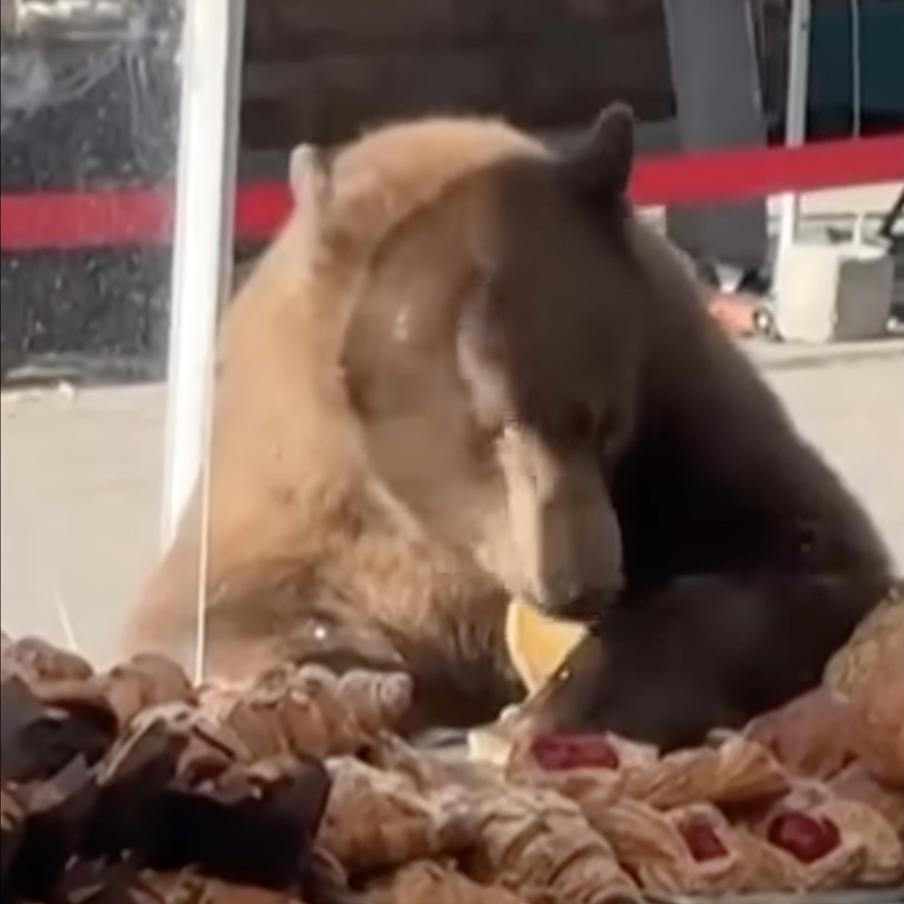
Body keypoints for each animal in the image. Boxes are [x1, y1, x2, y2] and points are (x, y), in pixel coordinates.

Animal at [123, 103, 893, 743]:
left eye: (601, 420)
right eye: (492, 428)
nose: (582, 585)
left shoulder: (684, 402)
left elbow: (815, 558)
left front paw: (568, 698)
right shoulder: (291, 474)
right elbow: (198, 612)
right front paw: (353, 671)